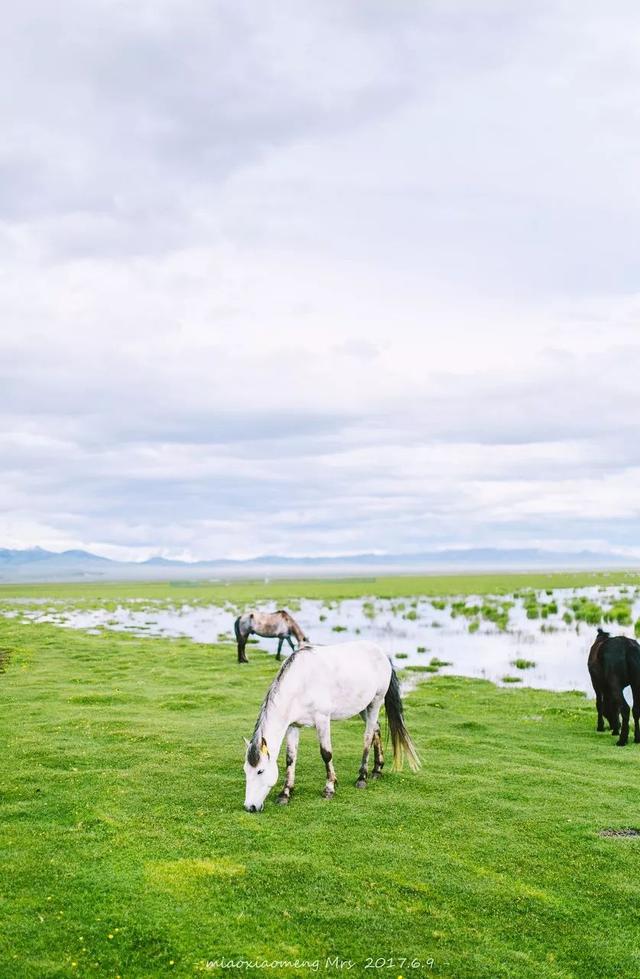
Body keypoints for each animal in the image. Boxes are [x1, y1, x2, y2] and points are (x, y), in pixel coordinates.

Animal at [242, 636, 418, 812]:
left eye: (260, 771)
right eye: (245, 770)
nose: (250, 807)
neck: (301, 682)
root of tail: (382, 654)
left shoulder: (322, 720)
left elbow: (326, 754)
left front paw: (330, 788)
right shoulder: (293, 726)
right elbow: (290, 759)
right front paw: (285, 794)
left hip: (375, 702)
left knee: (368, 736)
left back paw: (362, 778)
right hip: (363, 707)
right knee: (376, 728)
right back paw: (377, 770)